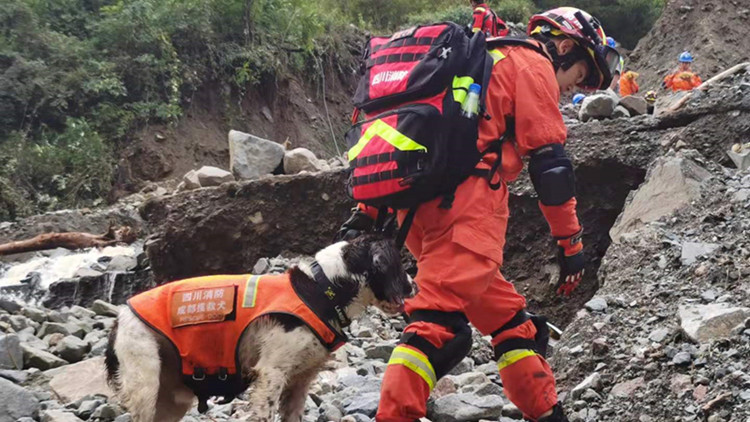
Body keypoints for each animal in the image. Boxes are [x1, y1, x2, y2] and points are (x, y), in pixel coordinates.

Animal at [105, 236, 412, 422]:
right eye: (398, 266)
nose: (412, 285)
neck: (320, 289)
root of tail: (120, 317)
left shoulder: (300, 380)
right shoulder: (272, 373)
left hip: (172, 396)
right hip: (145, 382)